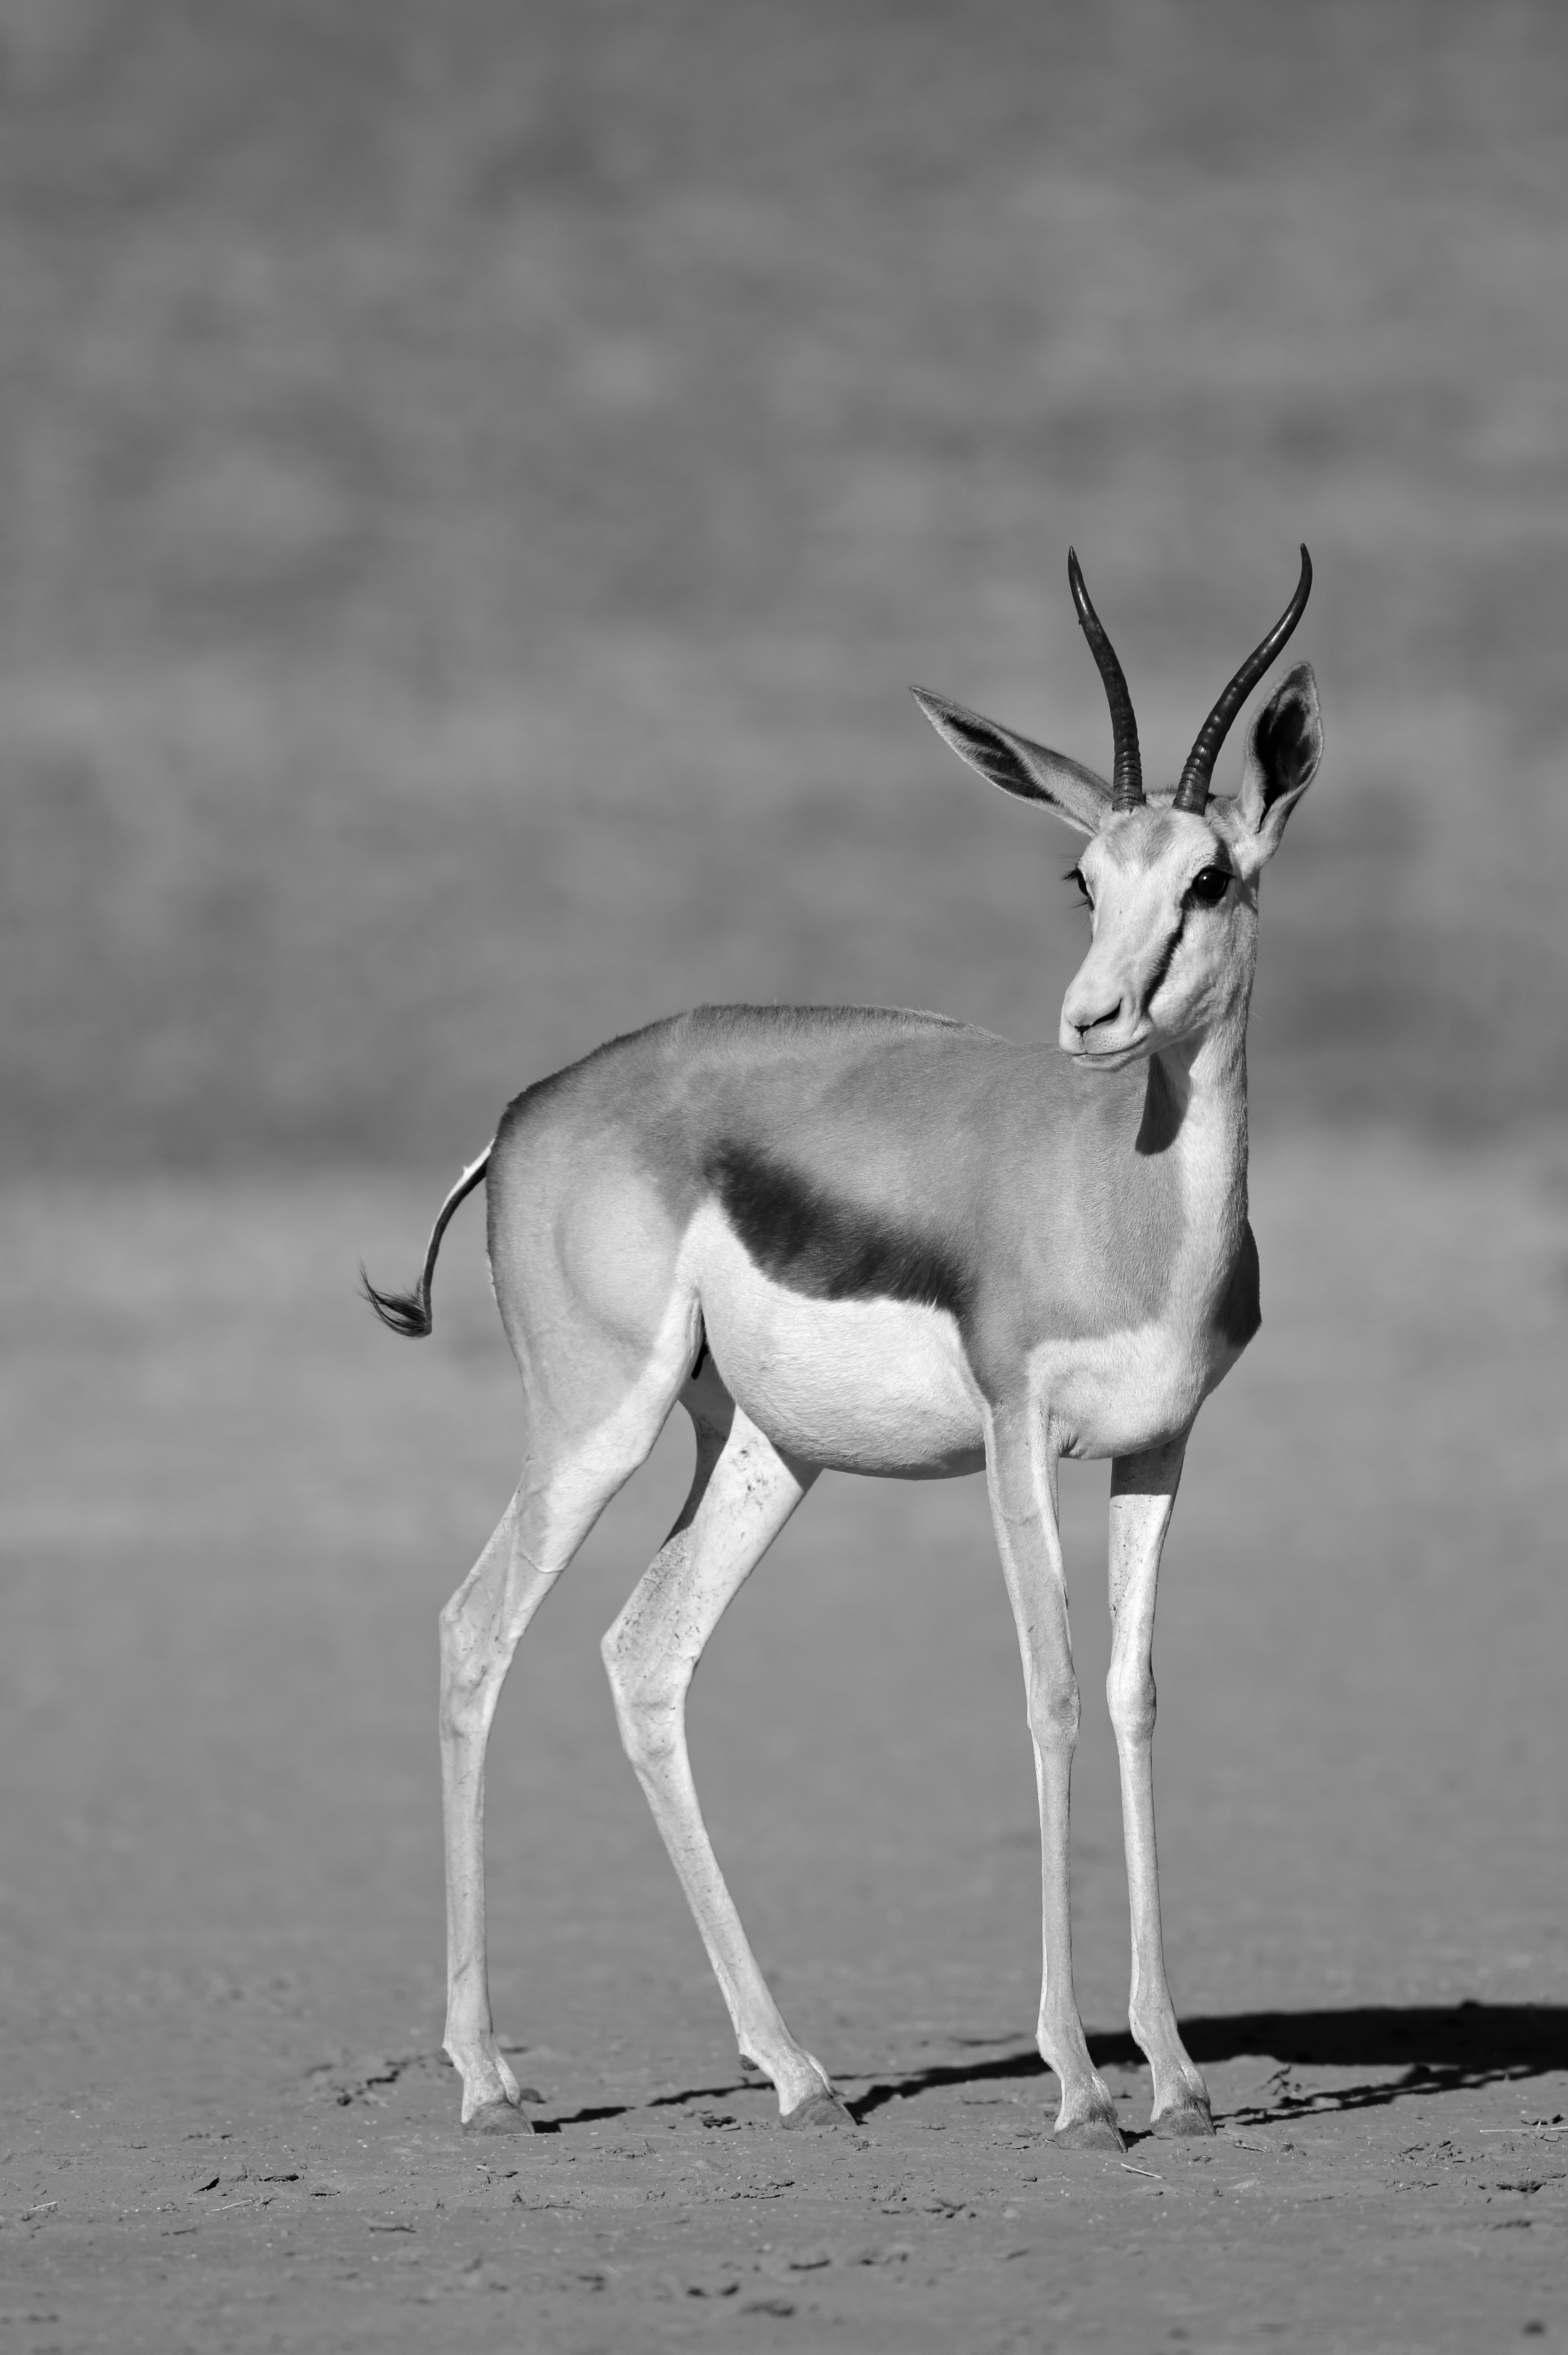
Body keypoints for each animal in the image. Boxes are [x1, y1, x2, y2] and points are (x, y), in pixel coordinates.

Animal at [365, 549, 1322, 2148]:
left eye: (1210, 878)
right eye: (1081, 876)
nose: (1095, 1018)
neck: (1121, 1195)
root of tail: (526, 1113)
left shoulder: (1162, 1447)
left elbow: (1132, 1697)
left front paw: (1179, 2078)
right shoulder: (1016, 1435)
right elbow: (1048, 1692)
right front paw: (1080, 2085)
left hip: (763, 1452)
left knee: (643, 1652)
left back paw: (799, 2071)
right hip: (599, 1424)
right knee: (474, 1630)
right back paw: (490, 2081)